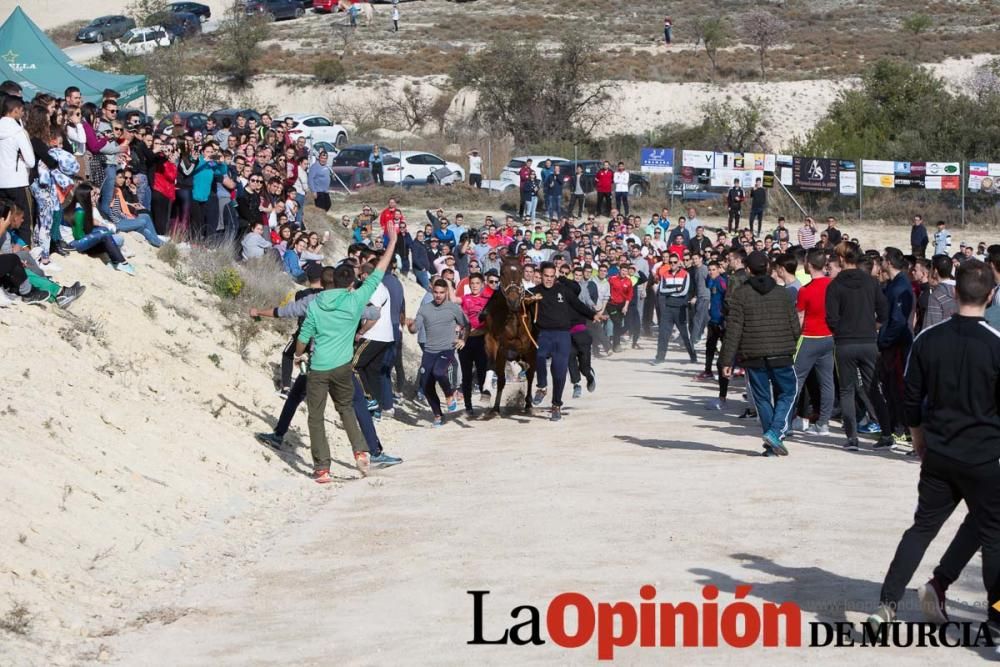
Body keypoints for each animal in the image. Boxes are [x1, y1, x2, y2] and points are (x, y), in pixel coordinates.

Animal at [478, 253, 536, 414]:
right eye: (502, 273)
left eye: (521, 272)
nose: (513, 300)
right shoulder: (491, 339)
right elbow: (492, 363)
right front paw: (486, 393)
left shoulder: (525, 341)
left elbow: (518, 348)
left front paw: (520, 365)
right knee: (502, 378)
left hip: (532, 351)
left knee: (530, 375)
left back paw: (528, 404)